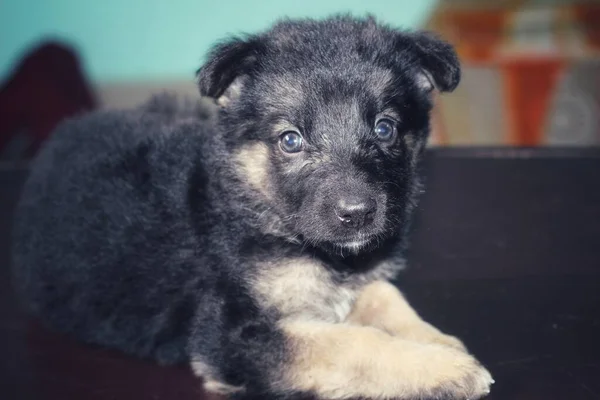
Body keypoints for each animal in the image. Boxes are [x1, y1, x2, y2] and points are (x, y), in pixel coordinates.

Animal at [11, 14, 494, 400]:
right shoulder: (232, 336)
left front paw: (438, 342)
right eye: (291, 140)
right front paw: (443, 369)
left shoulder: (355, 277)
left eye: (385, 128)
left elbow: (385, 295)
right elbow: (354, 343)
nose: (358, 214)